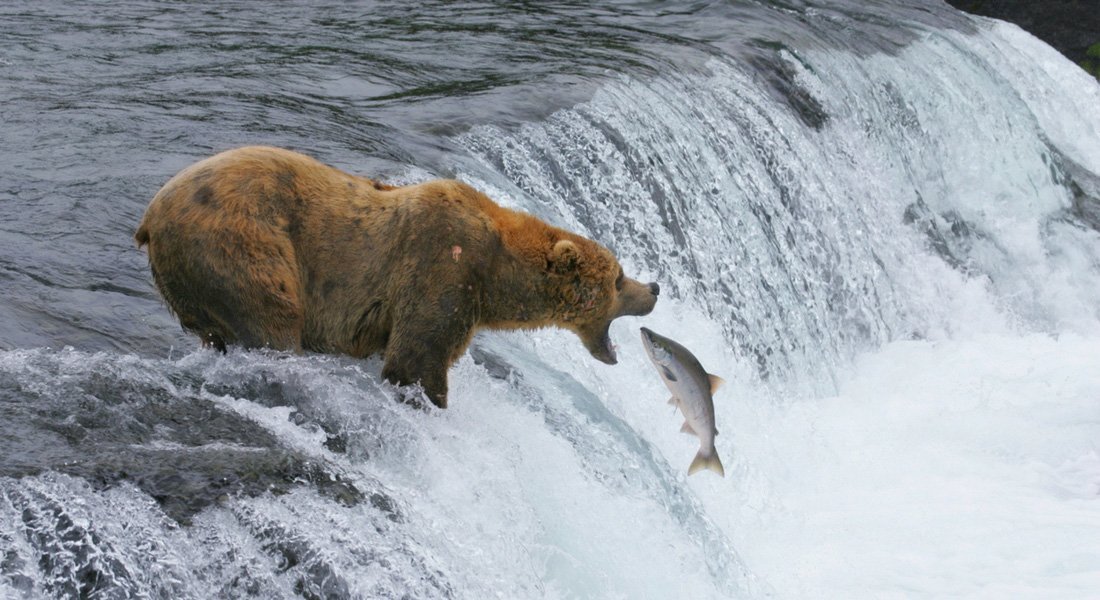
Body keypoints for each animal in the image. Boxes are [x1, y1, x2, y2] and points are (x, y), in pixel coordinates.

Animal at [135, 146, 659, 407]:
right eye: (618, 278)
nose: (653, 288)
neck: (497, 275)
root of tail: (150, 217)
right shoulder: (442, 266)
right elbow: (417, 358)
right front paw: (429, 399)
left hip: (188, 282)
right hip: (240, 244)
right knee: (272, 320)